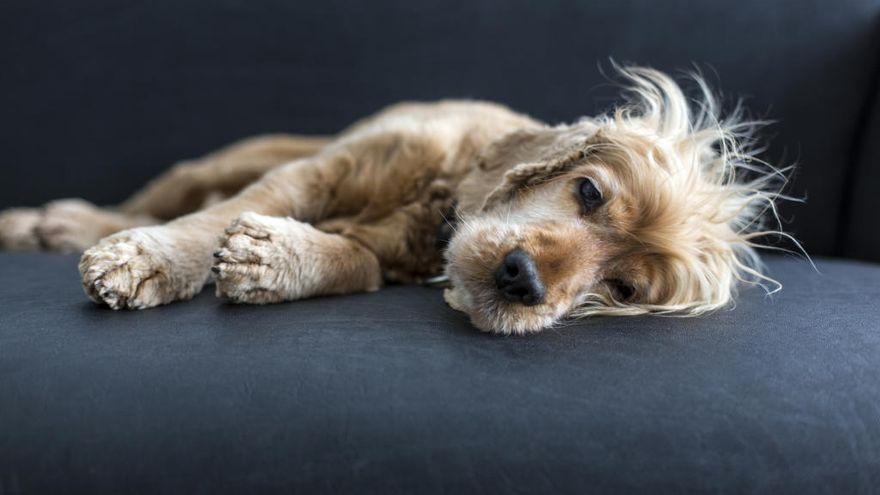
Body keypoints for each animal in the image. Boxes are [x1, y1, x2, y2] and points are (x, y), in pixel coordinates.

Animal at [0, 66, 796, 336]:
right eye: (589, 190)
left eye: (625, 287)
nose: (522, 281)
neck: (438, 199)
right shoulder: (318, 171)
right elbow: (206, 220)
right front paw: (146, 261)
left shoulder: (388, 258)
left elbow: (355, 263)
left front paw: (273, 258)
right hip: (226, 157)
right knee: (160, 197)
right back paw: (51, 222)